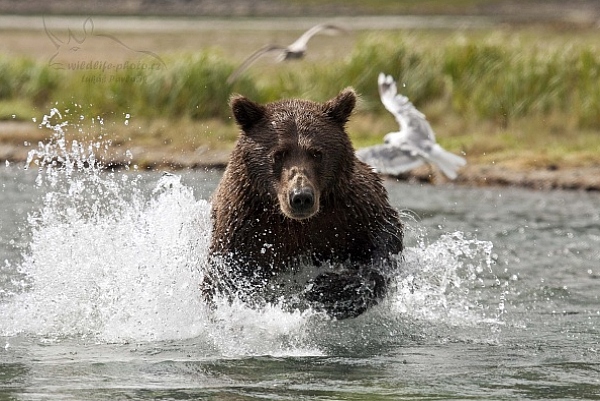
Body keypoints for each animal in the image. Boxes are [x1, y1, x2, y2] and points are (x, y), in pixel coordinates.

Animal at [204, 88, 406, 318]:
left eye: (316, 153)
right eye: (279, 153)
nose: (301, 197)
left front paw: (329, 291)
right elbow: (225, 276)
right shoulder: (246, 222)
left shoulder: (351, 210)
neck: (298, 223)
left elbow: (383, 244)